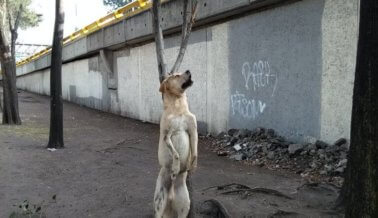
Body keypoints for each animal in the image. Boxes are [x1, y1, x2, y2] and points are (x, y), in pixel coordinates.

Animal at [153, 70, 198, 217]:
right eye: (176, 76)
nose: (188, 70)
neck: (178, 108)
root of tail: (171, 195)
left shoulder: (193, 132)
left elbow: (195, 153)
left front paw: (192, 165)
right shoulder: (167, 136)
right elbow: (176, 154)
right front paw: (176, 168)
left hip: (185, 204)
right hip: (159, 201)